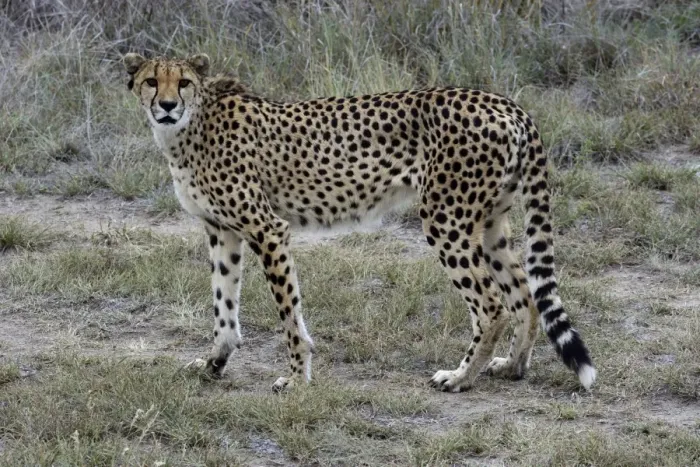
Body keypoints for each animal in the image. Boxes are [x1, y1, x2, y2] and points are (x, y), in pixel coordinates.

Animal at [123, 52, 597, 393]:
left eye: (183, 82)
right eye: (152, 81)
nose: (168, 106)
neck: (189, 127)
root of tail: (503, 102)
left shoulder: (266, 229)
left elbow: (288, 314)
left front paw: (296, 376)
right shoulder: (222, 231)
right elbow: (224, 306)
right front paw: (214, 362)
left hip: (445, 219)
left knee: (492, 305)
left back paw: (461, 377)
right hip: (490, 223)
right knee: (524, 294)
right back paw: (511, 367)